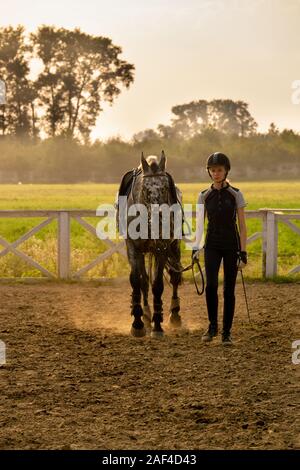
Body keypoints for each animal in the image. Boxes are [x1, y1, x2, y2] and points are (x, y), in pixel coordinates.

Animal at [117, 151, 183, 338]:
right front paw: (138, 323)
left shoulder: (162, 249)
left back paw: (175, 315)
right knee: (144, 281)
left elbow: (158, 285)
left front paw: (158, 325)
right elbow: (137, 281)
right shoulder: (133, 249)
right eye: (145, 190)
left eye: (166, 188)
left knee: (175, 277)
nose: (159, 223)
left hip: (174, 246)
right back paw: (146, 315)